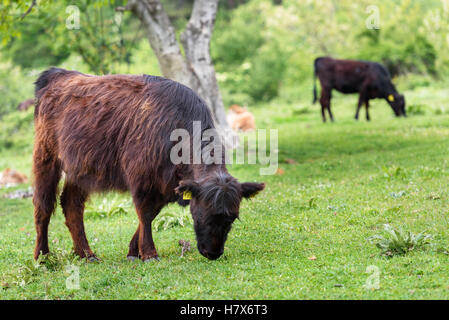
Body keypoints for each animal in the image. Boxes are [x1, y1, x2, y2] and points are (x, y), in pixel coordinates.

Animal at [33, 68, 264, 262]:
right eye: (202, 215)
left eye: (232, 218)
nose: (213, 253)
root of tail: (59, 74)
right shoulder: (141, 178)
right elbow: (144, 213)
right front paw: (150, 253)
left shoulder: (167, 185)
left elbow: (151, 215)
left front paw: (134, 251)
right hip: (46, 158)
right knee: (43, 206)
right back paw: (42, 256)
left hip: (80, 169)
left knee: (72, 205)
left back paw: (86, 254)